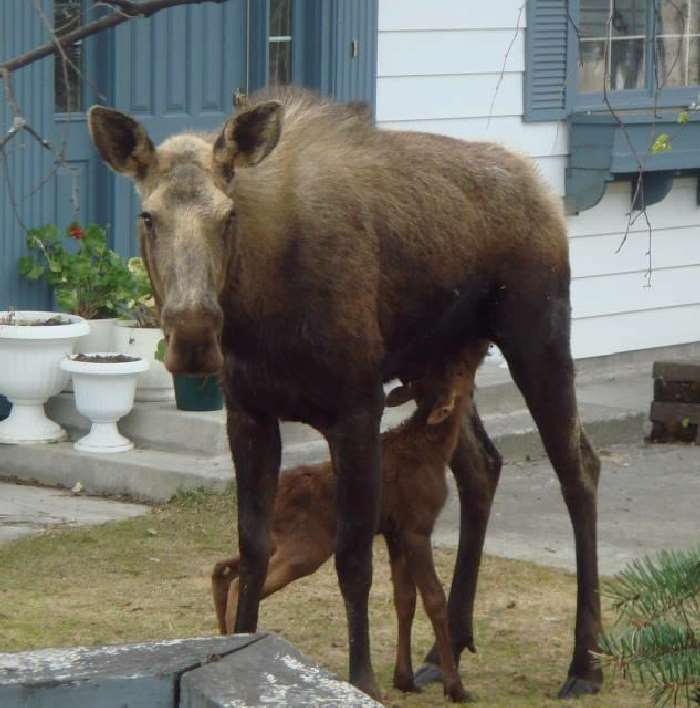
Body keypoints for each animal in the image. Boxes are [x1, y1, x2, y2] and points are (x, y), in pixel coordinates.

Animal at [212, 344, 486, 704]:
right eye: (457, 371)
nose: (478, 351)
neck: (436, 450)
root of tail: (280, 494)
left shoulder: (393, 531)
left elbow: (404, 600)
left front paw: (405, 679)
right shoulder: (416, 524)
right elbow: (433, 599)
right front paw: (455, 687)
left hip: (282, 540)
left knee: (224, 568)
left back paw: (221, 633)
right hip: (307, 546)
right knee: (236, 578)